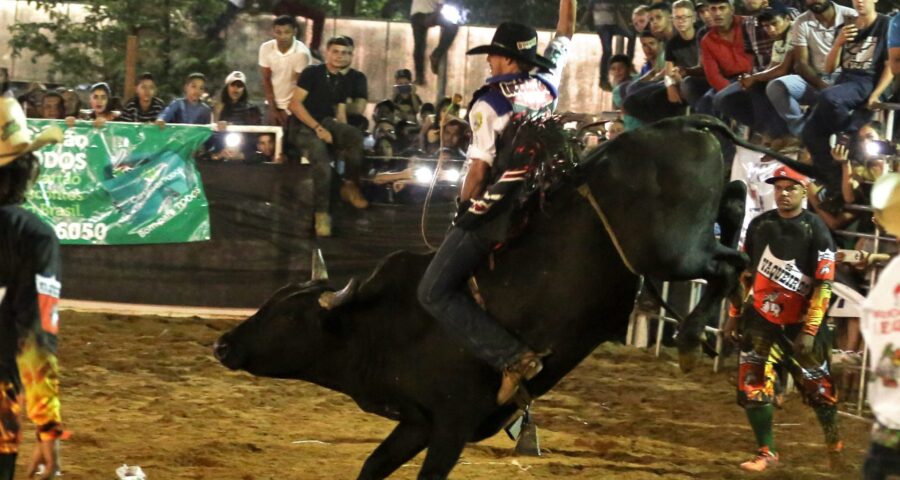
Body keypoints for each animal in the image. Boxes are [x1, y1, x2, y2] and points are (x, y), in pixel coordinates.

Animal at [214, 116, 812, 480]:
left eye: (285, 315)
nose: (222, 344)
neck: (383, 323)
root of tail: (681, 123)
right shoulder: (416, 423)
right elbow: (372, 466)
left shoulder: (450, 425)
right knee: (735, 208)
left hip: (669, 253)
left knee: (729, 264)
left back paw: (689, 339)